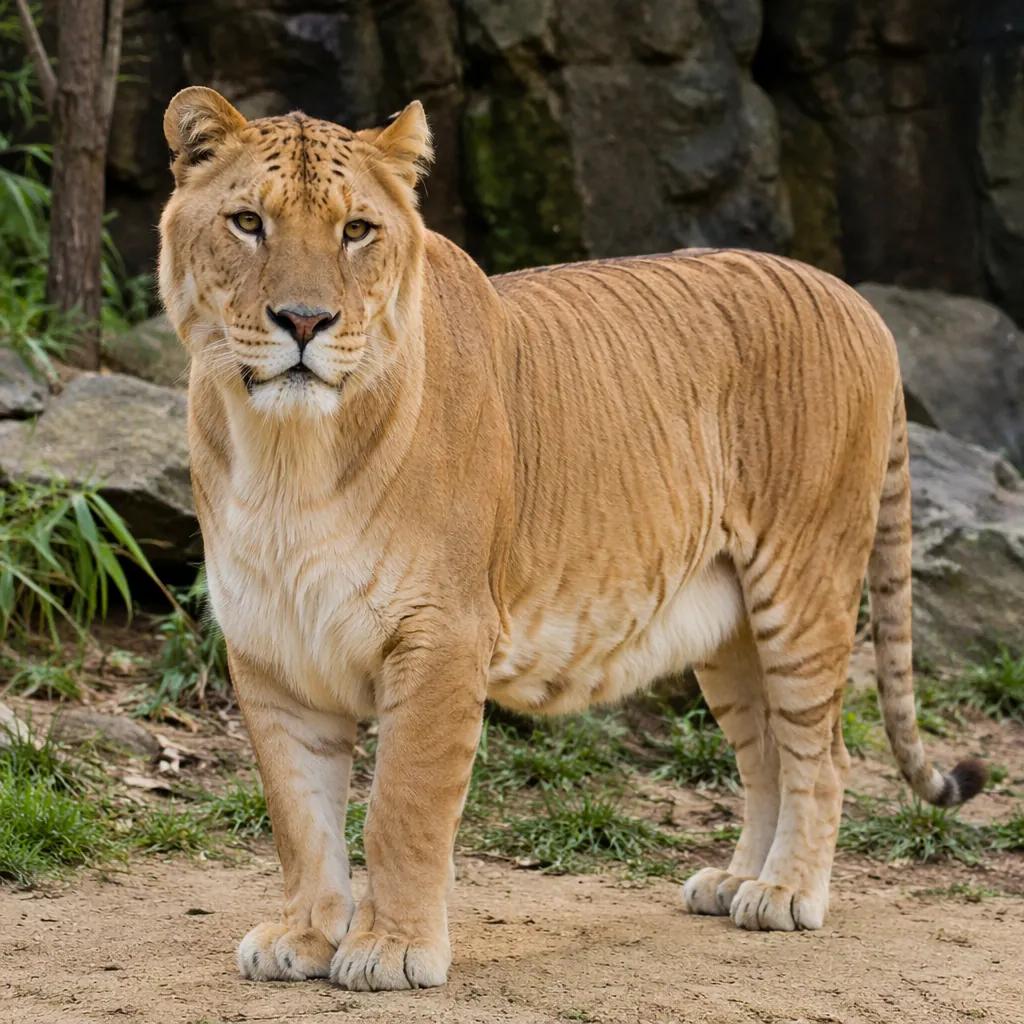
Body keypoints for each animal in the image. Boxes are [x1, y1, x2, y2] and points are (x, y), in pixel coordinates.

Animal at [158, 87, 984, 991]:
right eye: (248, 222)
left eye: (356, 230)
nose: (304, 321)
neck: (286, 457)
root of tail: (858, 301)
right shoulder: (269, 642)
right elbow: (298, 814)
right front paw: (303, 936)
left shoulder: (444, 633)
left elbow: (402, 805)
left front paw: (394, 949)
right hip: (730, 623)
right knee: (766, 749)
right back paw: (737, 881)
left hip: (804, 584)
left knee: (822, 755)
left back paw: (785, 893)